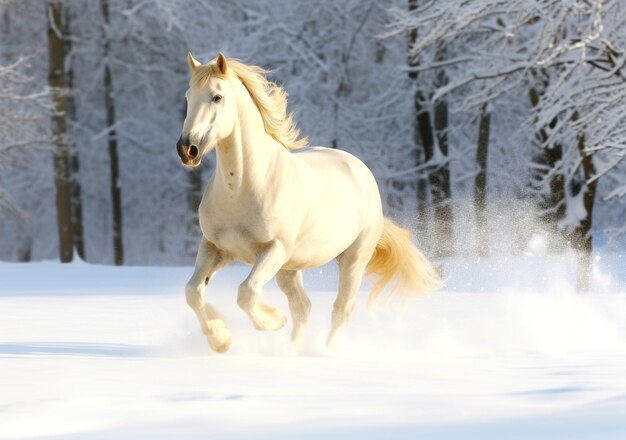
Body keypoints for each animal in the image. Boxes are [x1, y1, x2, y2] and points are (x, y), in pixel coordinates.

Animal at [176, 53, 438, 352]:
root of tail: (359, 168)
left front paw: (273, 321)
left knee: (341, 309)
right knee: (303, 307)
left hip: (352, 260)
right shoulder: (215, 247)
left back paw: (322, 351)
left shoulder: (274, 249)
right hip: (289, 268)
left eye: (217, 96)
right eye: (188, 97)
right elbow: (193, 292)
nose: (187, 149)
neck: (241, 188)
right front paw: (220, 339)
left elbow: (247, 292)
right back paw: (291, 350)